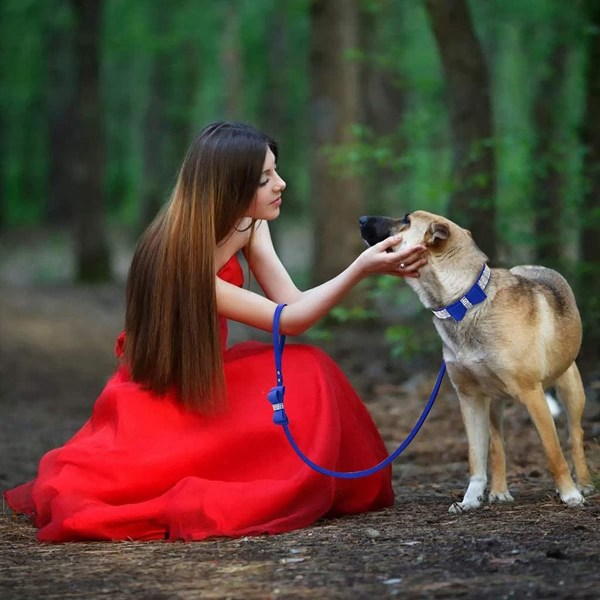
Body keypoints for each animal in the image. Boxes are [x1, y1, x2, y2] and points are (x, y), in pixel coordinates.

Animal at [358, 210, 592, 510]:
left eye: (407, 221)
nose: (362, 219)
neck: (464, 302)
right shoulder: (469, 398)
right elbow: (476, 457)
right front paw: (470, 499)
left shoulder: (532, 393)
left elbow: (553, 451)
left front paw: (569, 493)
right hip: (494, 403)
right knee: (497, 445)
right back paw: (499, 491)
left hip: (570, 388)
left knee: (575, 436)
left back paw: (583, 484)